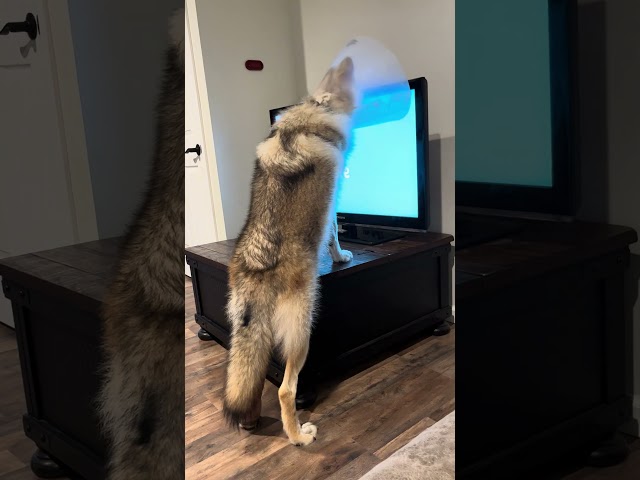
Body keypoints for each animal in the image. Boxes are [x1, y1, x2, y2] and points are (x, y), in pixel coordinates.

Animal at [222, 56, 358, 446]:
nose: (351, 58)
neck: (313, 109)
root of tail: (255, 267)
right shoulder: (332, 205)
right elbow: (334, 235)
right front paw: (341, 257)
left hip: (249, 333)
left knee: (249, 383)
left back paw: (251, 423)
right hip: (302, 334)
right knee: (285, 390)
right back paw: (299, 436)